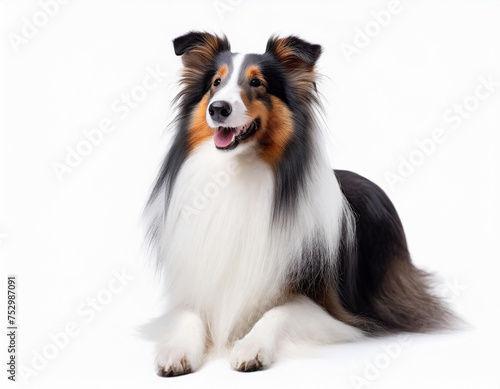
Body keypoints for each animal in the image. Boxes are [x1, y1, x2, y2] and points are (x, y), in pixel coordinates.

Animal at [143, 31, 456, 376]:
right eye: (215, 82)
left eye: (257, 83)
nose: (218, 109)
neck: (237, 173)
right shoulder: (195, 285)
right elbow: (188, 316)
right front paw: (176, 350)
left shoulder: (328, 307)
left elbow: (278, 314)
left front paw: (251, 347)